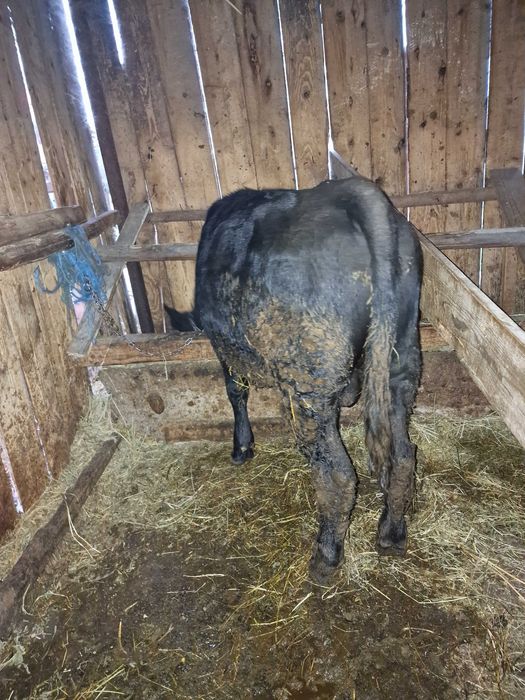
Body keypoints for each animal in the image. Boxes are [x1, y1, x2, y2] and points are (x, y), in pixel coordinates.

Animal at [166, 175, 422, 582]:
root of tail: (351, 193)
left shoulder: (225, 348)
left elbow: (235, 392)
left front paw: (241, 447)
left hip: (310, 381)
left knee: (337, 475)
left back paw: (326, 555)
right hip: (401, 359)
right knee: (402, 456)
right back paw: (392, 532)